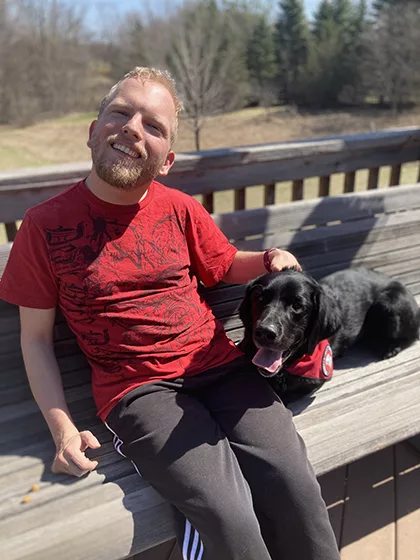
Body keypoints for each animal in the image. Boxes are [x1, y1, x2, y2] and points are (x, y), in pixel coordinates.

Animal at [240, 270, 420, 400]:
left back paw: (390, 348)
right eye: (259, 298)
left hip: (388, 304)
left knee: (411, 335)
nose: (265, 332)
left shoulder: (314, 379)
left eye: (297, 306)